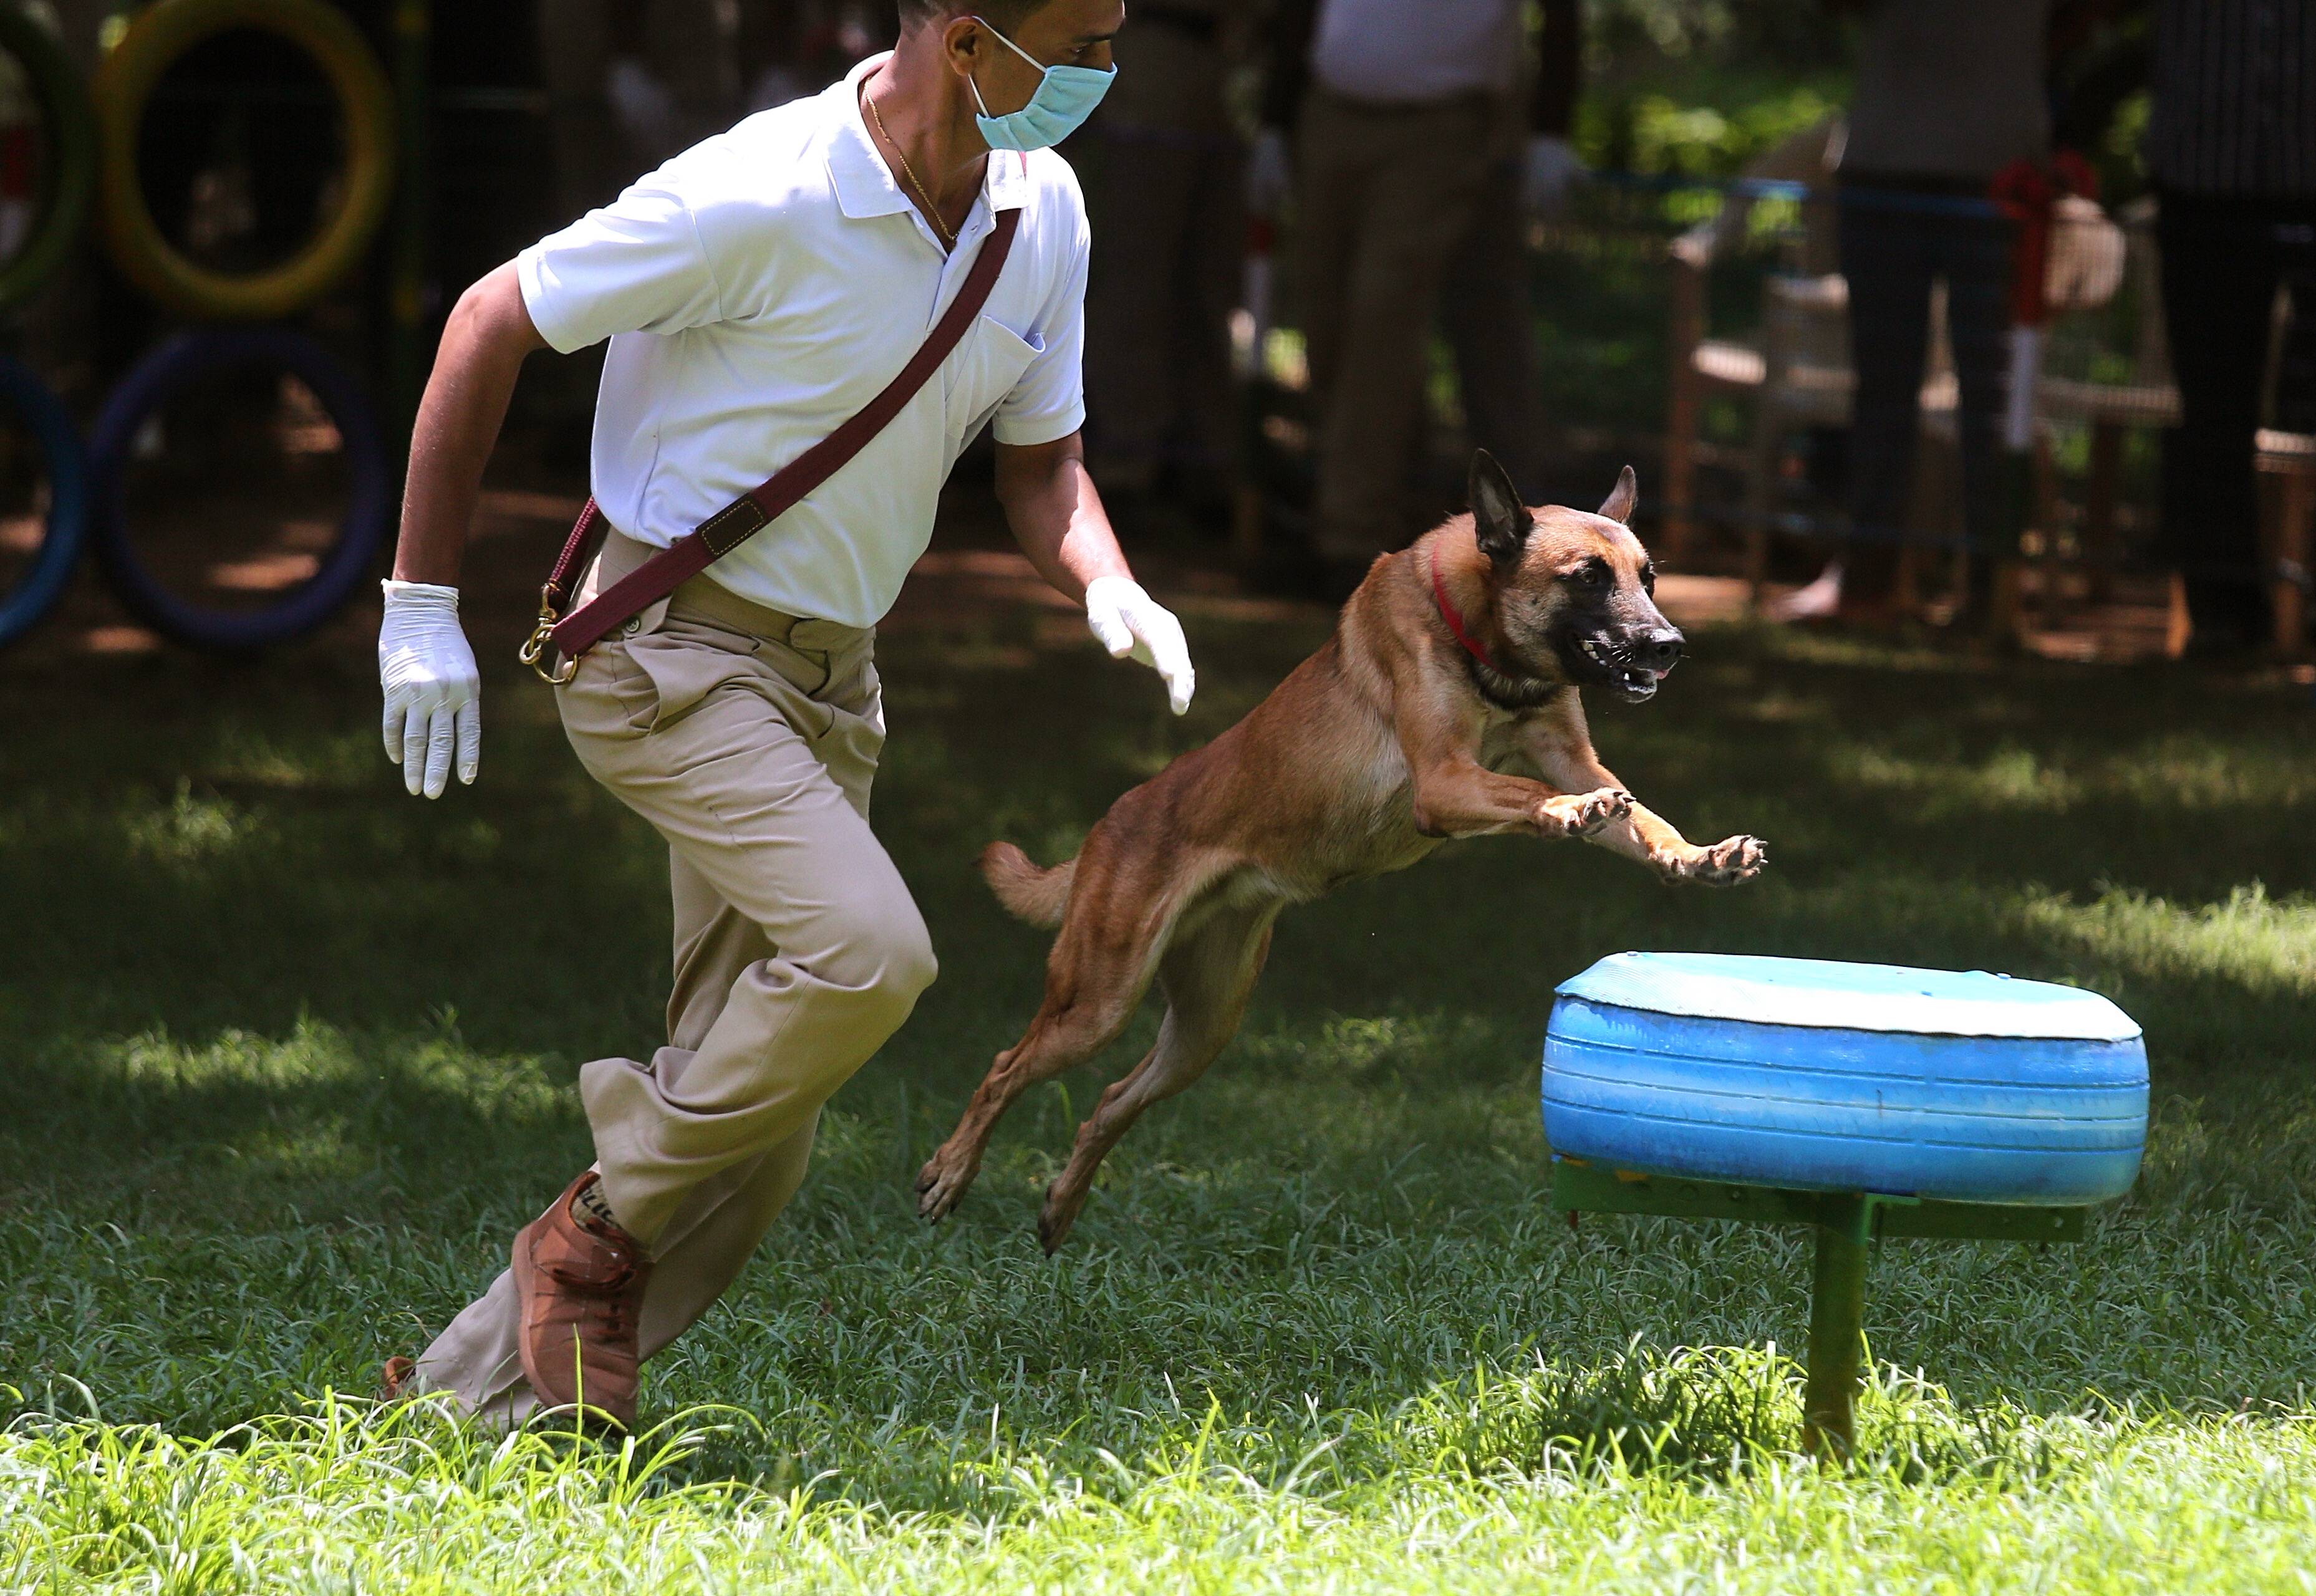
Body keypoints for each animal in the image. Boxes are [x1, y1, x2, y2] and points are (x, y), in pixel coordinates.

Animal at [912, 454, 1760, 1251]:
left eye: (1648, 578)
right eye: (1588, 578)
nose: (1671, 646)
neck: (1485, 645)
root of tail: (1105, 828)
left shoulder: (1569, 753)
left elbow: (1644, 819)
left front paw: (1700, 855)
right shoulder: (1444, 782)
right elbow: (1527, 794)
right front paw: (1566, 812)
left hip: (1204, 1027)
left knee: (1110, 1100)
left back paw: (1060, 1205)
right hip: (1098, 997)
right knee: (1005, 1067)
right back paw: (950, 1173)